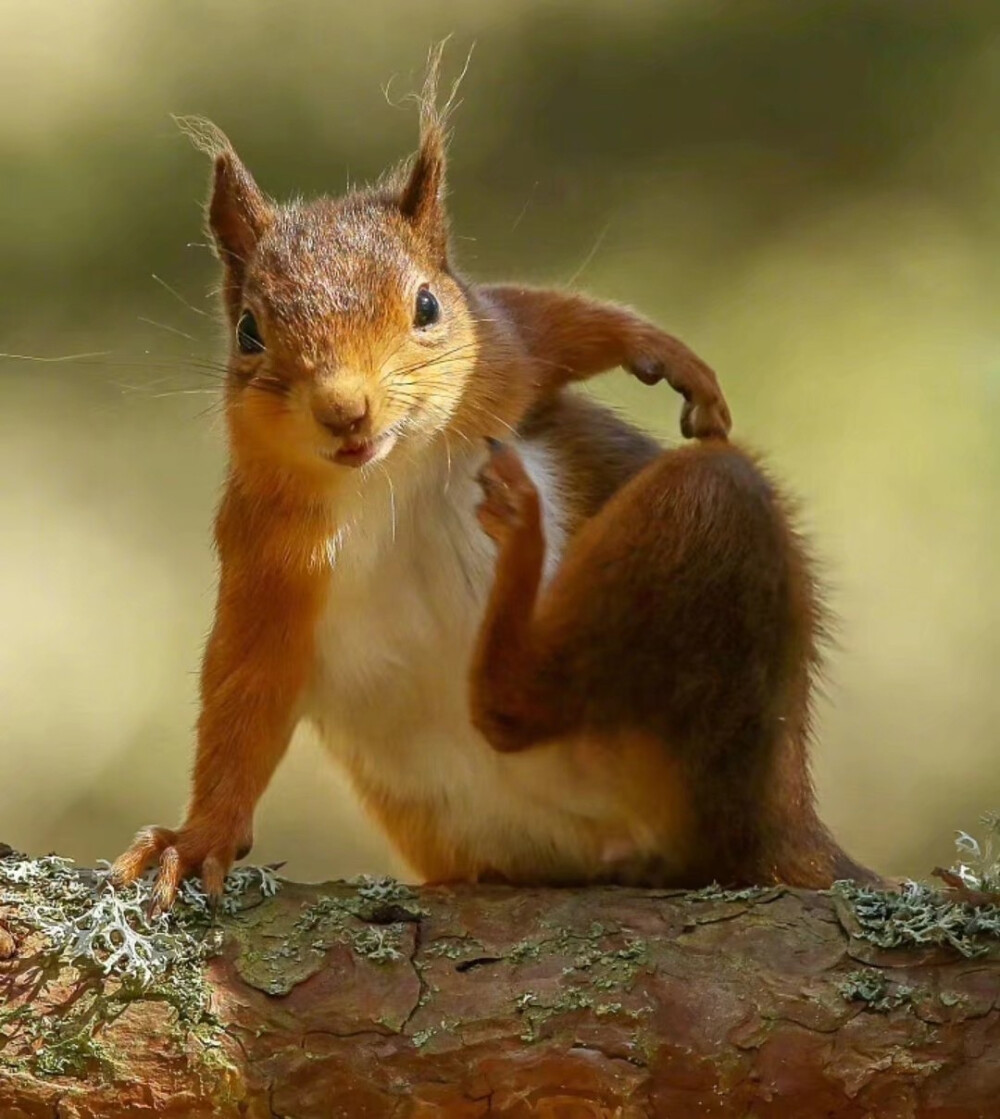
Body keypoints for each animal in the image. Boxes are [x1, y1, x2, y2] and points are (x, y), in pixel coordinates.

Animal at [111, 54, 876, 908]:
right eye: (249, 330)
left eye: (428, 304)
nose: (344, 410)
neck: (391, 480)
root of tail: (789, 817)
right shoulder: (268, 556)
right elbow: (242, 701)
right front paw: (197, 836)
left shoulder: (497, 362)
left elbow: (538, 326)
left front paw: (664, 353)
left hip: (707, 532)